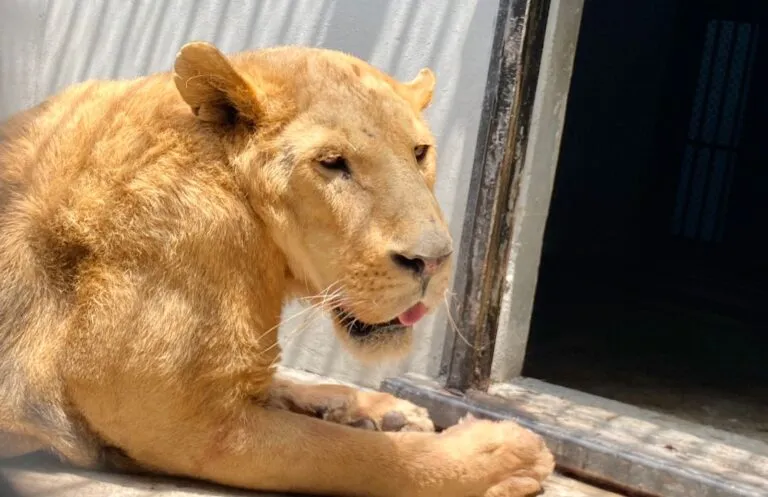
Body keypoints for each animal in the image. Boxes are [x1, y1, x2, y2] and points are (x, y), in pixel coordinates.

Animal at [0, 42, 554, 496]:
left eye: (419, 152)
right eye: (332, 162)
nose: (433, 261)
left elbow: (287, 386)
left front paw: (381, 408)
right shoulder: (184, 423)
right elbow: (352, 456)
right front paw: (502, 456)